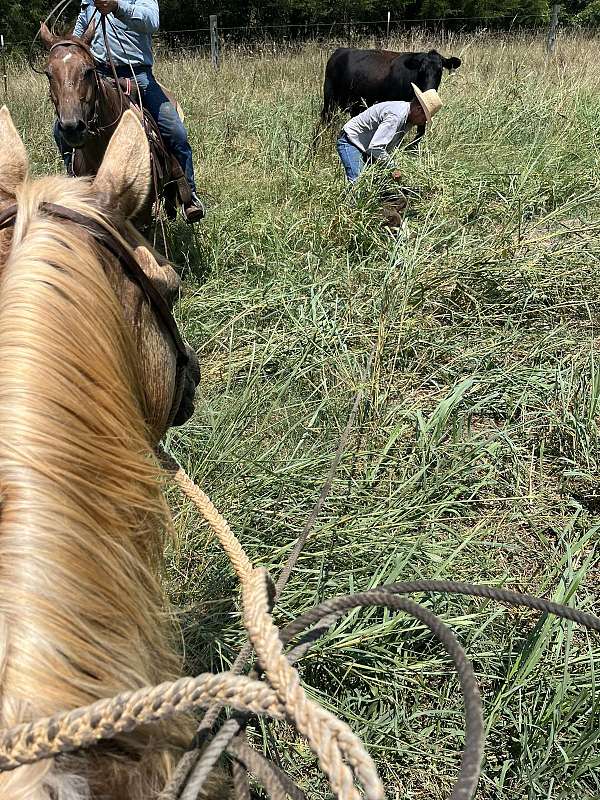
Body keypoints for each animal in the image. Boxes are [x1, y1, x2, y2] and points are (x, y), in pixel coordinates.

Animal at [322, 47, 462, 144]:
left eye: (440, 71)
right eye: (421, 71)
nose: (428, 91)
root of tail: (339, 51)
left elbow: (420, 133)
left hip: (355, 105)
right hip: (329, 100)